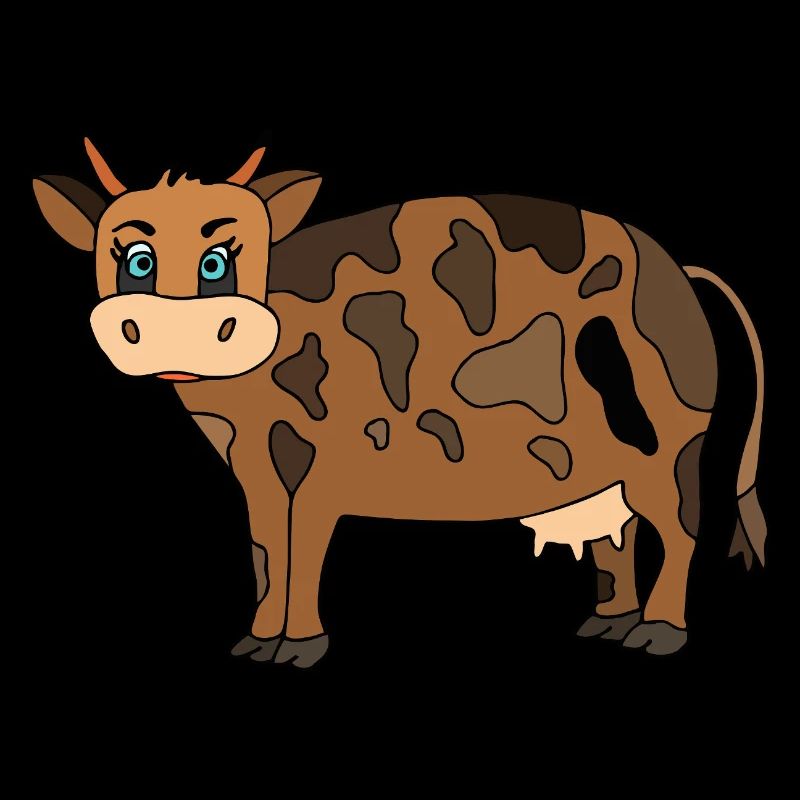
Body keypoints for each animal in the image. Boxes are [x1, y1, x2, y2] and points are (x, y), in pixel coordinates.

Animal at [32, 140, 766, 667]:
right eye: (136, 259)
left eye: (218, 261)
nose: (175, 331)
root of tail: (682, 271)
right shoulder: (255, 467)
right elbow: (266, 548)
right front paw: (257, 642)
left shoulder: (326, 462)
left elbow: (304, 547)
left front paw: (297, 649)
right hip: (612, 461)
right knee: (623, 532)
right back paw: (606, 626)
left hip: (670, 442)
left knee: (679, 527)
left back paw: (657, 635)